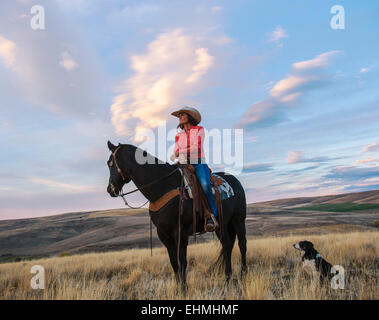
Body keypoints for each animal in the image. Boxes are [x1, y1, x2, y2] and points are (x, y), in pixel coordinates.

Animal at [106, 141, 249, 286]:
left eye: (110, 164)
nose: (110, 189)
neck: (163, 186)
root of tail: (234, 180)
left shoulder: (181, 232)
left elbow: (183, 262)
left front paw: (184, 287)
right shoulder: (163, 234)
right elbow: (174, 263)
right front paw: (178, 287)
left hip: (238, 219)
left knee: (242, 244)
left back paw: (243, 274)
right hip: (222, 224)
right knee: (227, 245)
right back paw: (227, 277)